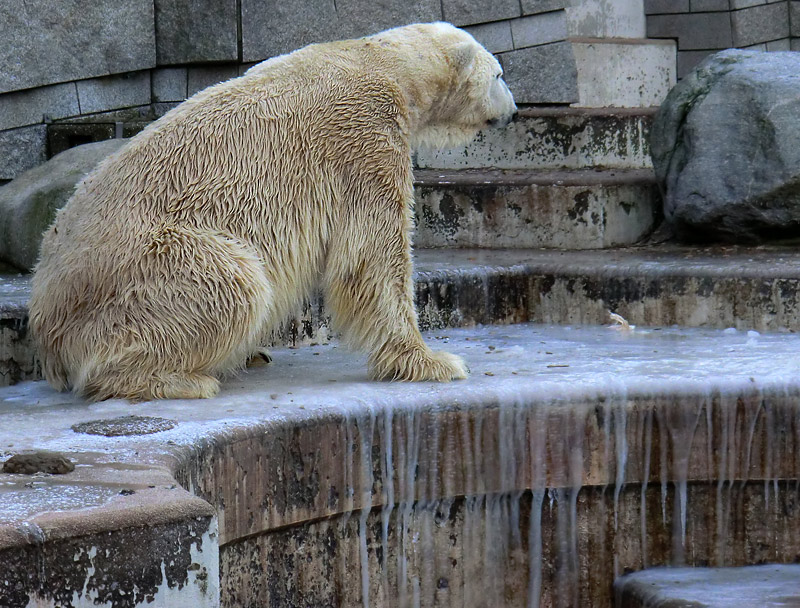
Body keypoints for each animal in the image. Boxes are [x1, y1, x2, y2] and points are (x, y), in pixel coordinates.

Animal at [28, 21, 516, 402]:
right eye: (499, 74)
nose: (513, 111)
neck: (382, 61)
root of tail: (44, 320)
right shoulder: (365, 136)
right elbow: (373, 255)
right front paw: (434, 361)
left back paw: (249, 356)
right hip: (149, 267)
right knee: (232, 283)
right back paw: (181, 379)